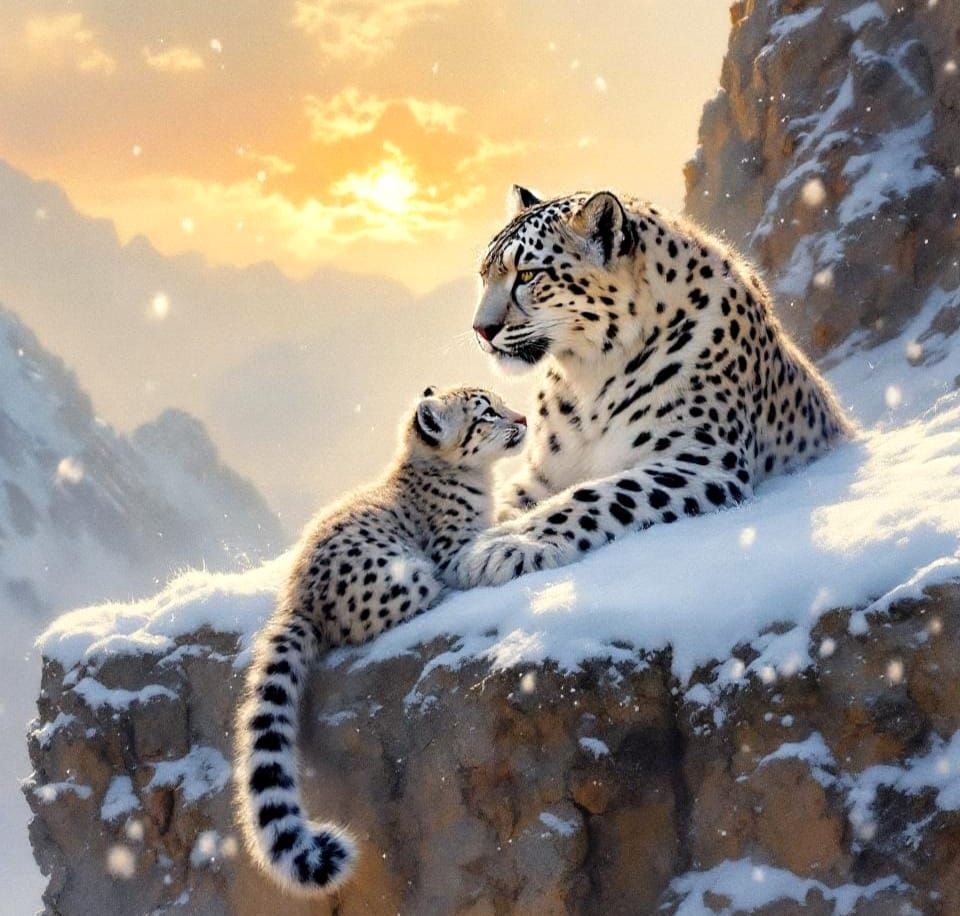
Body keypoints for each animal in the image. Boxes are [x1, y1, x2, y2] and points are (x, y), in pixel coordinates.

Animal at [449, 186, 852, 588]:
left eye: (529, 274)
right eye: (484, 275)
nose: (480, 329)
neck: (586, 377)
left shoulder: (702, 457)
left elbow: (598, 493)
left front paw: (503, 546)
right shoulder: (543, 474)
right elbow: (510, 499)